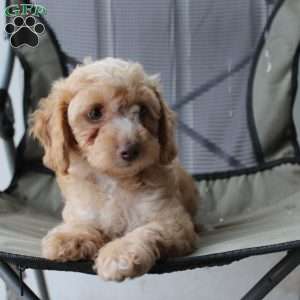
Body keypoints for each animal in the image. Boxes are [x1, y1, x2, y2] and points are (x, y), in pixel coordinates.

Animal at [30, 58, 200, 282]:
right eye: (94, 113)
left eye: (142, 110)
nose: (132, 149)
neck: (113, 180)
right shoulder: (81, 208)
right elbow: (84, 222)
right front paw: (68, 236)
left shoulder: (174, 221)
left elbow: (146, 230)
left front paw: (119, 255)